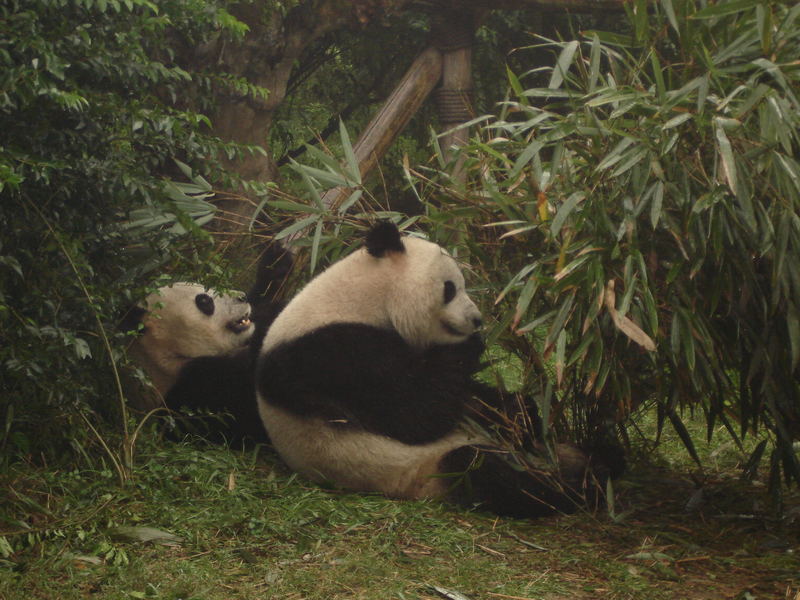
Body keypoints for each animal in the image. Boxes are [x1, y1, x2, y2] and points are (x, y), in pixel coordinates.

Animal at [258, 223, 624, 516]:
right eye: (450, 288)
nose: (477, 319)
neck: (360, 296)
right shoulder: (332, 353)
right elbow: (416, 413)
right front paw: (470, 346)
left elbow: (470, 397)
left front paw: (522, 414)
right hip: (422, 470)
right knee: (486, 471)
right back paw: (583, 485)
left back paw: (602, 456)